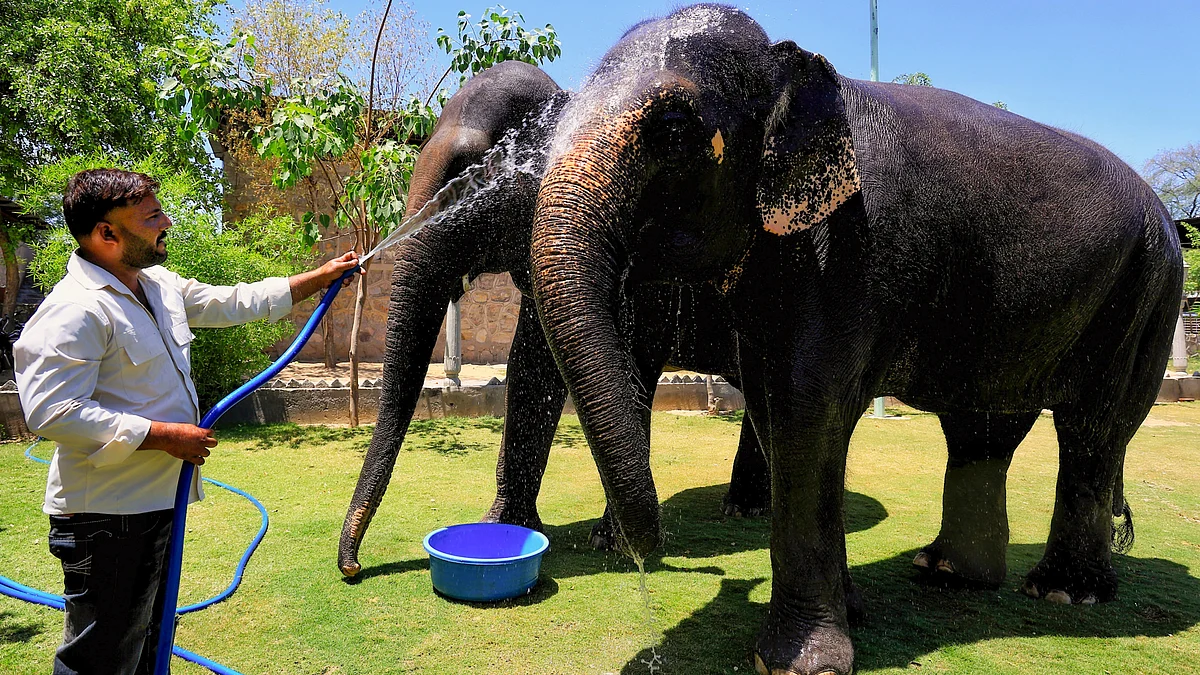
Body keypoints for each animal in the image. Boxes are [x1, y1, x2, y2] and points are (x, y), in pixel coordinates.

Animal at [337, 60, 770, 579]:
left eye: (466, 177)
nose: (352, 568)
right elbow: (530, 365)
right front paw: (502, 527)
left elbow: (631, 366)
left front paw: (611, 542)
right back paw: (745, 506)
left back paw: (749, 509)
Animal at [526, 5, 1184, 675]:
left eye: (674, 128)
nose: (638, 558)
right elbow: (772, 406)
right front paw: (851, 610)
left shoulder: (851, 250)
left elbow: (806, 409)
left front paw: (798, 664)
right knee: (983, 429)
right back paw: (947, 571)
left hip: (1145, 293)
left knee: (1092, 429)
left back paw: (1062, 592)